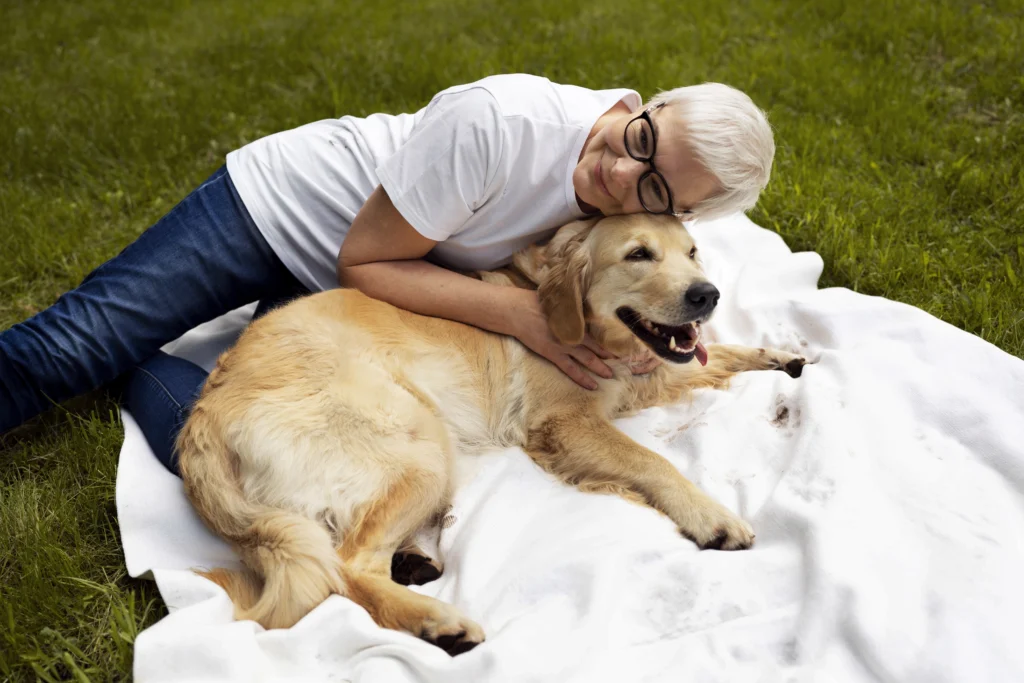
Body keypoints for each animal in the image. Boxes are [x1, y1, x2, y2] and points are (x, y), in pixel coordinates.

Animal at [176, 214, 806, 655]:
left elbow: (715, 356)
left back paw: (415, 570)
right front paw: (711, 516)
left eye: (692, 251)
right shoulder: (564, 423)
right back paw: (438, 623)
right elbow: (654, 461)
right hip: (423, 446)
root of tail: (203, 418)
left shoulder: (645, 377)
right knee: (348, 567)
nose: (707, 294)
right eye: (638, 255)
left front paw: (780, 357)